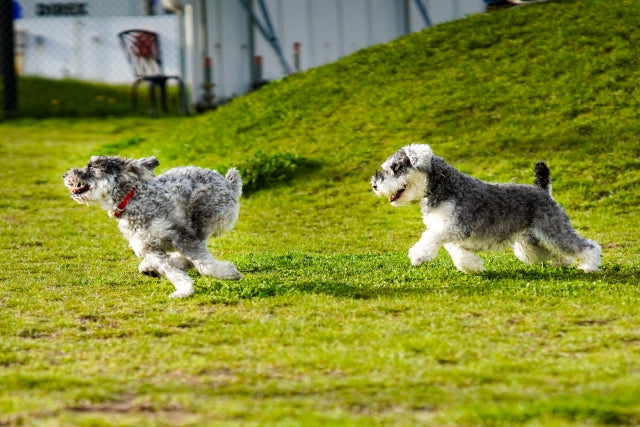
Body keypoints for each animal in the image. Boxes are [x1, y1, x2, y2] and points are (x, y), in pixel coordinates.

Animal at [64, 155, 242, 300]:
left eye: (92, 167)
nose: (65, 175)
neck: (131, 199)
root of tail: (230, 183)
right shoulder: (149, 248)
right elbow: (170, 271)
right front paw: (184, 290)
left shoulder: (181, 235)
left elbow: (204, 264)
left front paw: (228, 273)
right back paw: (151, 267)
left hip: (203, 215)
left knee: (197, 249)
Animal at [372, 145, 604, 274]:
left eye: (395, 168)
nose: (374, 184)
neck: (443, 186)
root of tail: (542, 190)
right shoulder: (447, 229)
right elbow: (453, 249)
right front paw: (472, 265)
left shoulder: (455, 226)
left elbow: (430, 239)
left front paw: (418, 256)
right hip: (530, 244)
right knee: (554, 253)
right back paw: (563, 262)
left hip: (554, 231)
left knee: (587, 246)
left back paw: (589, 266)